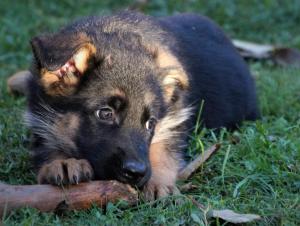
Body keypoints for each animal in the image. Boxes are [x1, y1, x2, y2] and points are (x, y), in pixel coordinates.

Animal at [23, 11, 258, 200]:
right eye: (105, 113)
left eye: (150, 123)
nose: (137, 173)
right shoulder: (39, 115)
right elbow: (47, 141)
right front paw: (62, 162)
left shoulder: (174, 118)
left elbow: (163, 149)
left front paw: (159, 181)